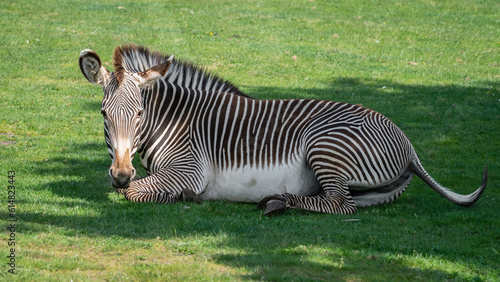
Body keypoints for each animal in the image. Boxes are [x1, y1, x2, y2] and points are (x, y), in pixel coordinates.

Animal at [79, 44, 488, 216]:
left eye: (140, 114)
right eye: (103, 114)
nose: (120, 173)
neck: (175, 121)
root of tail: (408, 144)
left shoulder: (189, 170)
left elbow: (135, 192)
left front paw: (182, 197)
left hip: (326, 145)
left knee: (339, 204)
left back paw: (276, 202)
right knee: (349, 201)